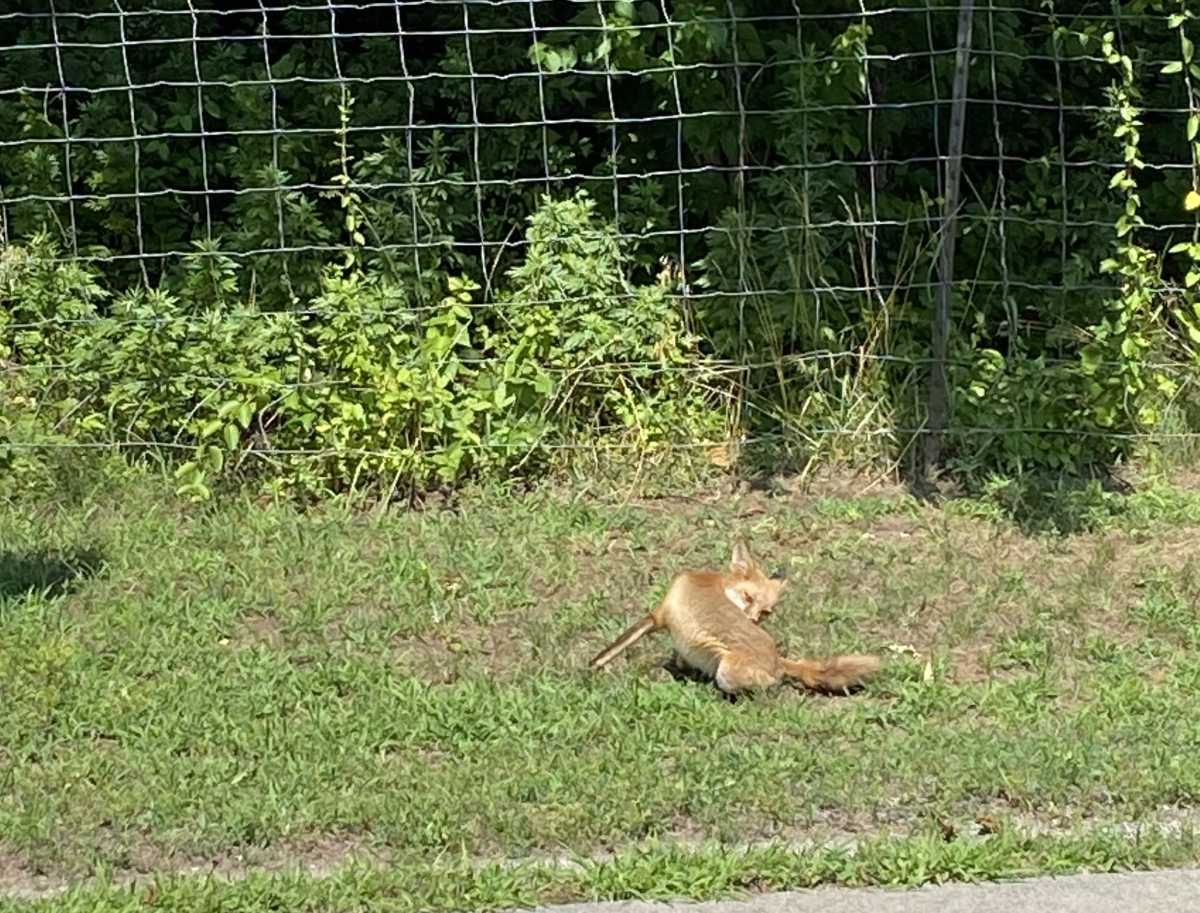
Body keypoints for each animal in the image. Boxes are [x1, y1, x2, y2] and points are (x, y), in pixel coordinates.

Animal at [590, 540, 879, 695]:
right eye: (748, 598)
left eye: (765, 612)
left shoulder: (657, 616)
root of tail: (777, 658)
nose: (752, 620)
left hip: (727, 673)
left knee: (771, 686)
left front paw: (593, 668)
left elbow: (612, 649)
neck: (713, 581)